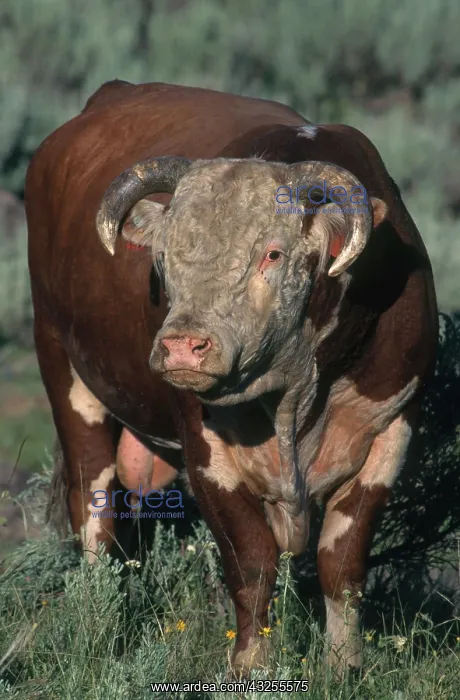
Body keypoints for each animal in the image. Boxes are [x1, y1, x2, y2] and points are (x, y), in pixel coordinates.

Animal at [25, 80, 438, 675]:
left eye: (273, 253)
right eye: (163, 256)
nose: (183, 346)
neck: (295, 398)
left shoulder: (391, 431)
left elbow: (343, 564)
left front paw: (344, 666)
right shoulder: (206, 452)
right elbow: (252, 562)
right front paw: (250, 665)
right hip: (64, 371)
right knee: (95, 512)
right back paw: (97, 624)